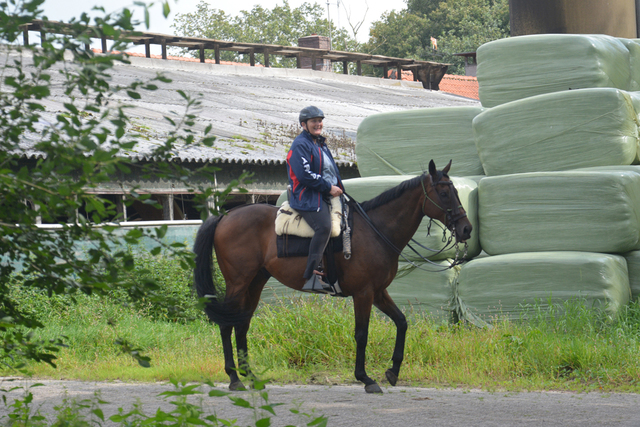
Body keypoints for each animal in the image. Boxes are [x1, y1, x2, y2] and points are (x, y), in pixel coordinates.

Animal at [192, 160, 472, 394]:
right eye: (444, 193)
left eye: (456, 192)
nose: (466, 229)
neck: (376, 230)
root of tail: (224, 216)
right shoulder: (363, 293)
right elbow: (362, 334)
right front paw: (365, 378)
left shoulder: (378, 292)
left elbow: (401, 322)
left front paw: (393, 371)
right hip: (238, 283)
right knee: (226, 325)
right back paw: (234, 378)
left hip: (255, 283)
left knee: (242, 324)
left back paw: (249, 375)